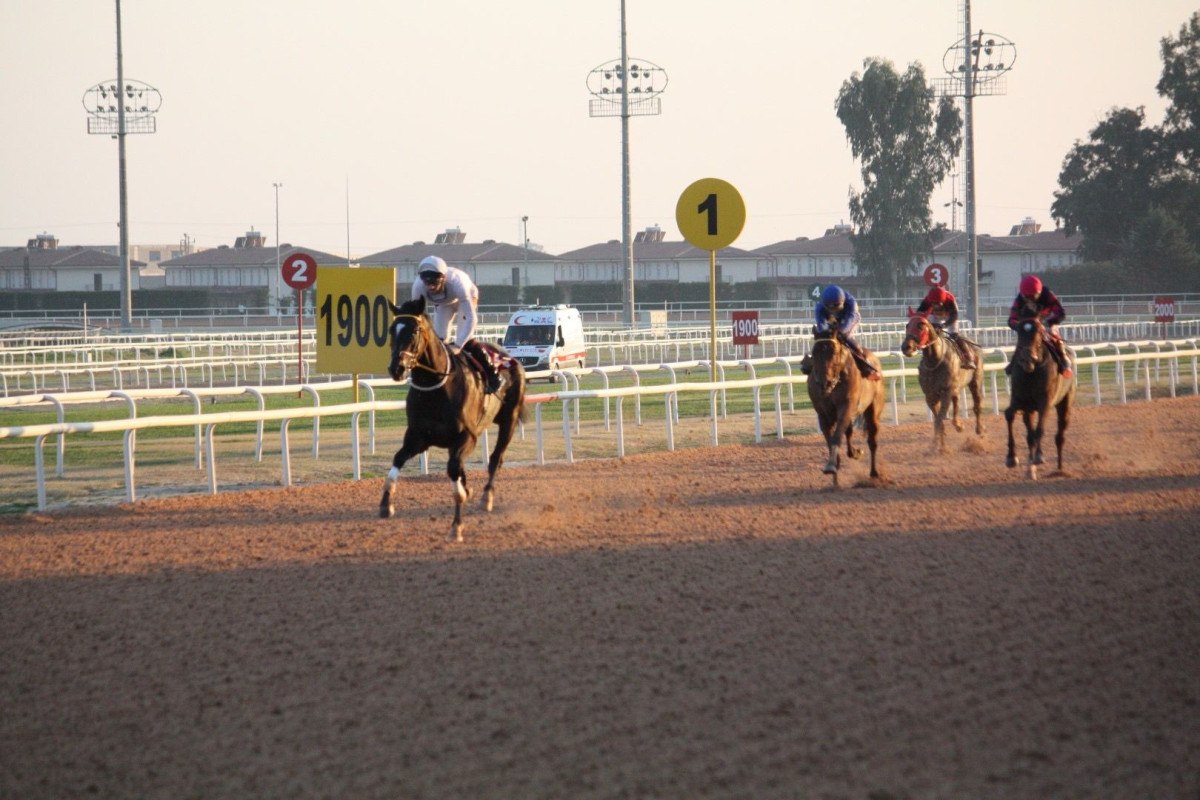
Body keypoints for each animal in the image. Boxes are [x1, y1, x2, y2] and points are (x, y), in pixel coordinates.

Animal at [376, 297, 523, 542]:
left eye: (414, 331)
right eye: (391, 330)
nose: (396, 368)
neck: (436, 388)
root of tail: (509, 358)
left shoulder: (467, 436)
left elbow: (454, 473)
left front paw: (457, 526)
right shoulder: (417, 437)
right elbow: (397, 459)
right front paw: (386, 503)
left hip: (509, 421)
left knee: (496, 458)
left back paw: (486, 497)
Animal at [801, 328, 888, 484]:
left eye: (834, 352)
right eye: (814, 351)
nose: (824, 383)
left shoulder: (846, 407)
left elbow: (837, 436)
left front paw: (831, 465)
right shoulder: (823, 414)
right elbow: (831, 440)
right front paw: (835, 469)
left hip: (874, 409)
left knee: (872, 440)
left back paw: (874, 472)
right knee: (849, 432)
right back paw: (854, 453)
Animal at [902, 309, 984, 453]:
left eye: (921, 326)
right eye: (907, 326)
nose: (906, 347)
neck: (935, 360)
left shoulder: (946, 392)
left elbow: (939, 419)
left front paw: (937, 445)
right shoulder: (930, 396)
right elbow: (938, 419)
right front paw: (940, 444)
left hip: (975, 381)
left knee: (977, 404)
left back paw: (979, 429)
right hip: (955, 388)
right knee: (956, 401)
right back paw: (958, 425)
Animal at [1003, 316, 1080, 482]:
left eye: (1039, 332)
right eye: (1019, 332)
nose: (1027, 359)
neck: (1032, 372)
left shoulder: (1045, 402)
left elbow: (1039, 430)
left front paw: (1039, 457)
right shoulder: (1020, 400)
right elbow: (1009, 415)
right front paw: (1012, 458)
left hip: (1065, 402)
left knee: (1060, 435)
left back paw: (1059, 468)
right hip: (1030, 410)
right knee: (1030, 434)